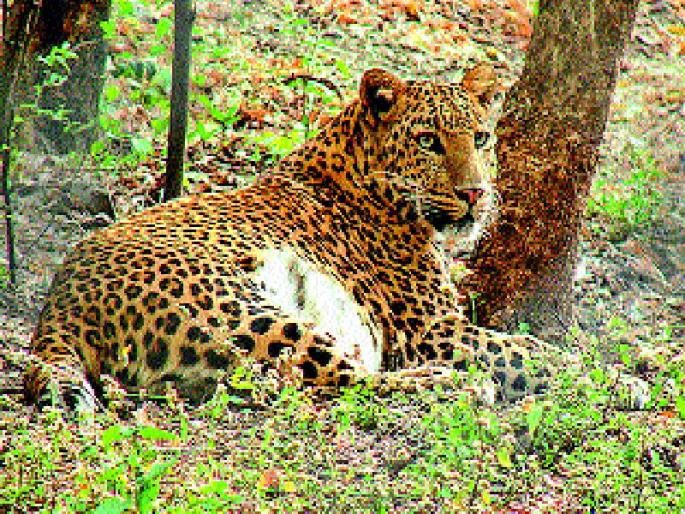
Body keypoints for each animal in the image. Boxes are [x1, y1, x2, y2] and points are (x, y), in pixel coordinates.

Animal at [24, 64, 566, 409]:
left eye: (481, 138)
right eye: (428, 140)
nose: (475, 193)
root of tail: (59, 303)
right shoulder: (431, 330)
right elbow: (531, 352)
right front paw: (585, 374)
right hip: (251, 314)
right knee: (336, 383)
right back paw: (457, 385)